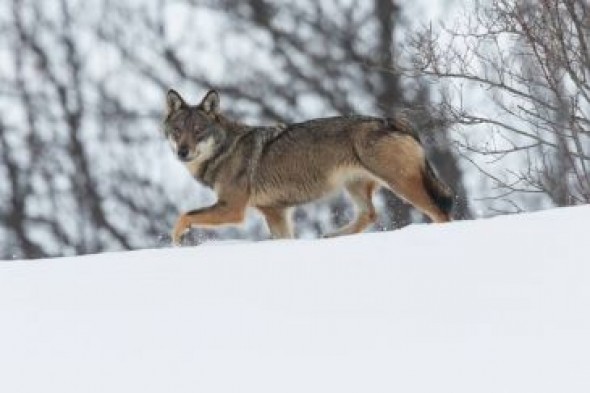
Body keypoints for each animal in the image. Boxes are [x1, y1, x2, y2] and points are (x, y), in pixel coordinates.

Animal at [164, 88, 456, 245]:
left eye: (198, 131)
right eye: (177, 131)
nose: (182, 152)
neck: (225, 150)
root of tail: (392, 121)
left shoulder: (233, 209)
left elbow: (184, 216)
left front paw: (177, 240)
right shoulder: (276, 212)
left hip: (402, 186)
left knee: (440, 214)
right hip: (356, 187)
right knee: (370, 215)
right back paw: (332, 236)